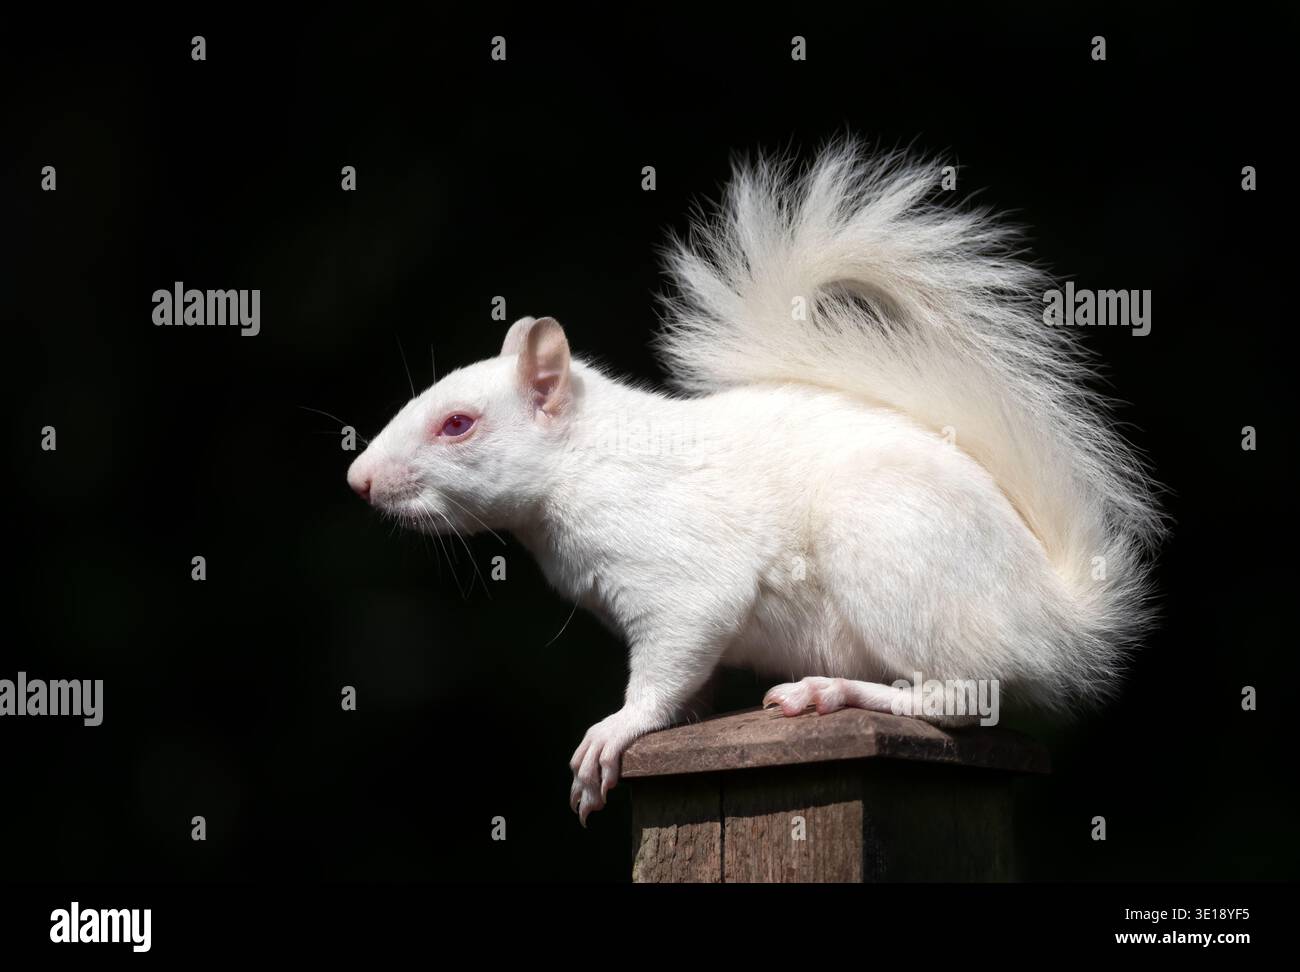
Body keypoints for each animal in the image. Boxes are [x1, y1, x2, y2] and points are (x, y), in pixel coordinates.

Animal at [346, 140, 1165, 824]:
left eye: (457, 424)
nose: (358, 479)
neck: (583, 464)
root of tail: (1056, 618)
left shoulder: (678, 576)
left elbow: (670, 660)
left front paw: (612, 734)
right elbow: (692, 687)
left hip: (894, 556)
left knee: (963, 696)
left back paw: (829, 690)